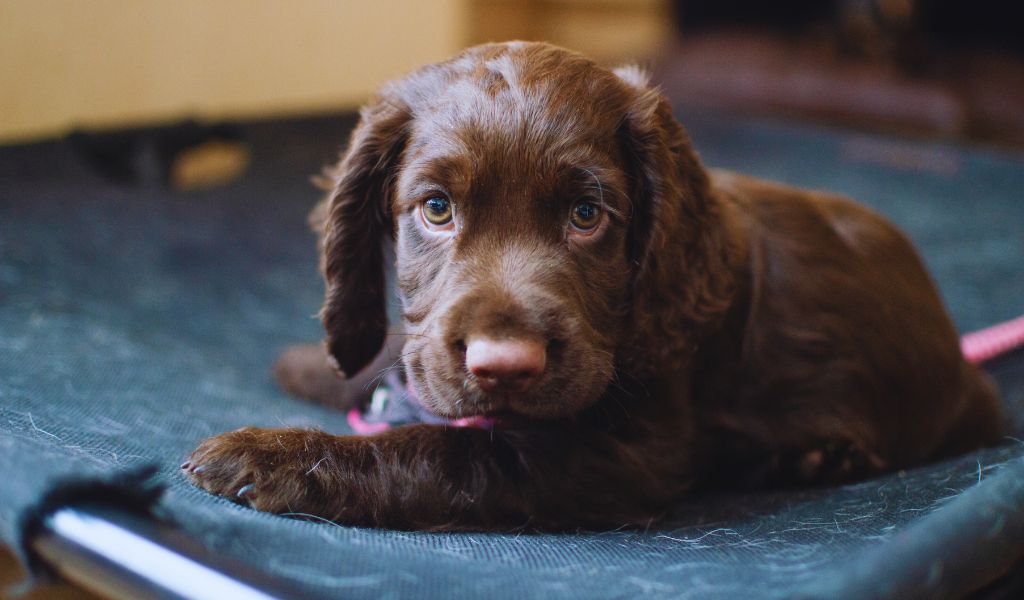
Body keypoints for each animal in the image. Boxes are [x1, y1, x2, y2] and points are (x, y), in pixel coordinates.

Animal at [182, 41, 999, 528]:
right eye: (437, 209)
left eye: (586, 215)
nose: (504, 368)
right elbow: (404, 373)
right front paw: (311, 368)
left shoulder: (623, 456)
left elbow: (443, 452)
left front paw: (271, 456)